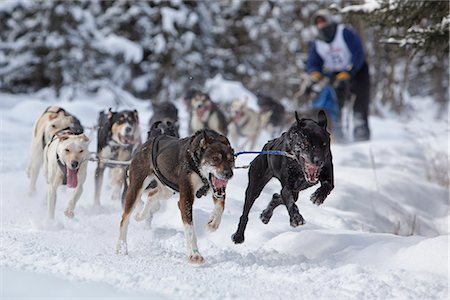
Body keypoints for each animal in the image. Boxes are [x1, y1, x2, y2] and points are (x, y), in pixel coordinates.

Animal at [116, 127, 236, 264]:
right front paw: (194, 254)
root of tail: (147, 143)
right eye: (215, 158)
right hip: (136, 188)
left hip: (167, 190)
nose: (228, 174)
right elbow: (190, 228)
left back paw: (141, 215)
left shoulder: (218, 189)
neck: (195, 161)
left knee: (152, 195)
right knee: (125, 218)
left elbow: (220, 207)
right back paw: (121, 247)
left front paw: (212, 223)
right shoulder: (186, 198)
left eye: (231, 160)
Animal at [232, 110, 334, 244]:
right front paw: (296, 218)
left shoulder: (327, 171)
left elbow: (328, 185)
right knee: (246, 212)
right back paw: (239, 235)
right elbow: (289, 201)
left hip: (294, 191)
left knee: (278, 197)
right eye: (306, 143)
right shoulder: (287, 187)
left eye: (324, 144)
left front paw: (318, 196)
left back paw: (266, 214)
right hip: (254, 186)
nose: (319, 161)